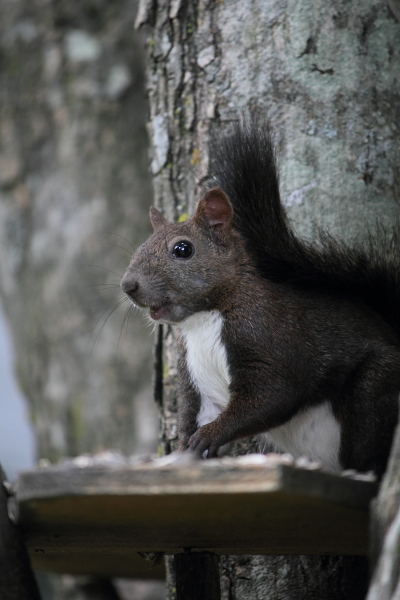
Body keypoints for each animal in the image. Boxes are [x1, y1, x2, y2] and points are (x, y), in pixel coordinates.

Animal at [121, 119, 400, 478]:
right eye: (140, 247)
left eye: (182, 249)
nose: (128, 286)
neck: (204, 318)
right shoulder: (195, 376)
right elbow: (194, 416)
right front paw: (182, 453)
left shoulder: (268, 336)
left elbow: (273, 394)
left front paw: (210, 435)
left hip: (375, 389)